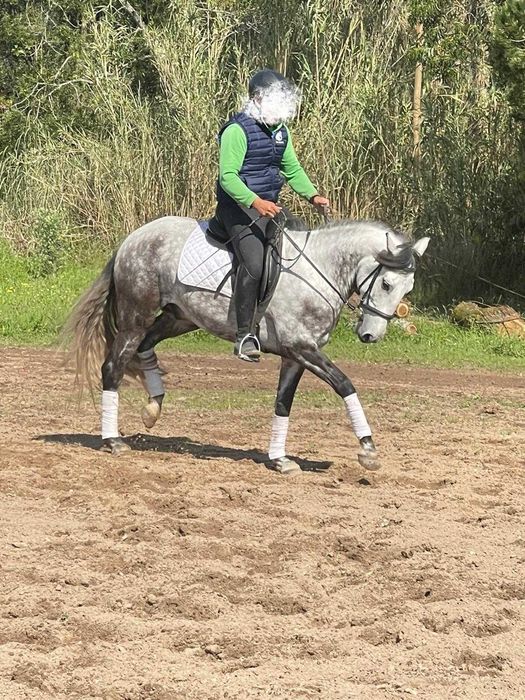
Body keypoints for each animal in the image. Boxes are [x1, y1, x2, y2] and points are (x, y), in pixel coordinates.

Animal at [66, 216, 429, 474]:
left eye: (408, 289)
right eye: (386, 283)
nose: (371, 336)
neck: (319, 272)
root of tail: (132, 239)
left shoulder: (295, 356)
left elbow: (283, 404)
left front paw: (280, 459)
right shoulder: (303, 349)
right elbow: (345, 385)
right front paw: (368, 449)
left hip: (178, 318)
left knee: (144, 349)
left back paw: (152, 409)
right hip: (136, 317)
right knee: (113, 366)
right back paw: (113, 440)